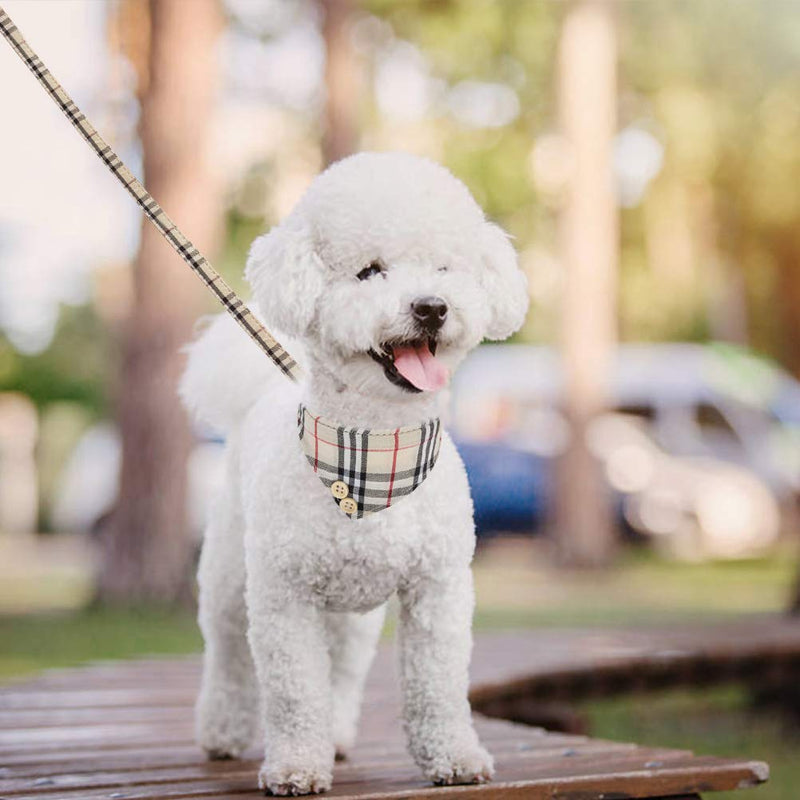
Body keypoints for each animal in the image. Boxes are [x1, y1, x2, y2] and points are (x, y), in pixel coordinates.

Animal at [182, 152, 532, 792]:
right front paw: (296, 766)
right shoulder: (284, 596)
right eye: (370, 272)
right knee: (228, 653)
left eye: (445, 268)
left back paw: (340, 736)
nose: (431, 307)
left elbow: (438, 685)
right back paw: (222, 733)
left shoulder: (438, 588)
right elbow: (295, 691)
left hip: (351, 613)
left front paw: (454, 757)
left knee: (342, 669)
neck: (376, 448)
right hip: (229, 576)